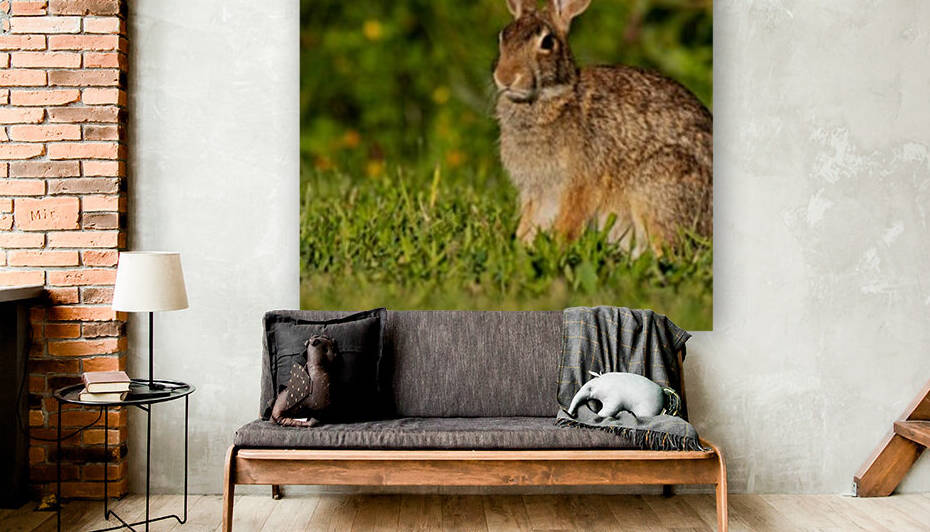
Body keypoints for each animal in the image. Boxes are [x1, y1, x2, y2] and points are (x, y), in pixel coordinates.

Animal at [494, 0, 712, 255]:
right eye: (503, 36)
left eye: (547, 43)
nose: (505, 77)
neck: (555, 99)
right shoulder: (537, 191)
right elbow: (529, 223)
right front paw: (520, 248)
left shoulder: (580, 184)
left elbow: (569, 222)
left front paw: (557, 249)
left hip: (659, 184)